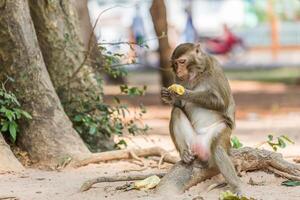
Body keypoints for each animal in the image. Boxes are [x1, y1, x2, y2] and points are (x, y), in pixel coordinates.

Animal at [162, 42, 241, 194]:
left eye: (182, 62)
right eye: (175, 64)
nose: (178, 71)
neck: (195, 73)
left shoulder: (214, 67)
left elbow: (221, 102)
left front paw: (182, 93)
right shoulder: (179, 79)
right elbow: (178, 106)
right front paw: (167, 96)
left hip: (220, 131)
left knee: (218, 149)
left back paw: (236, 187)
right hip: (192, 142)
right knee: (176, 112)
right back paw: (184, 153)